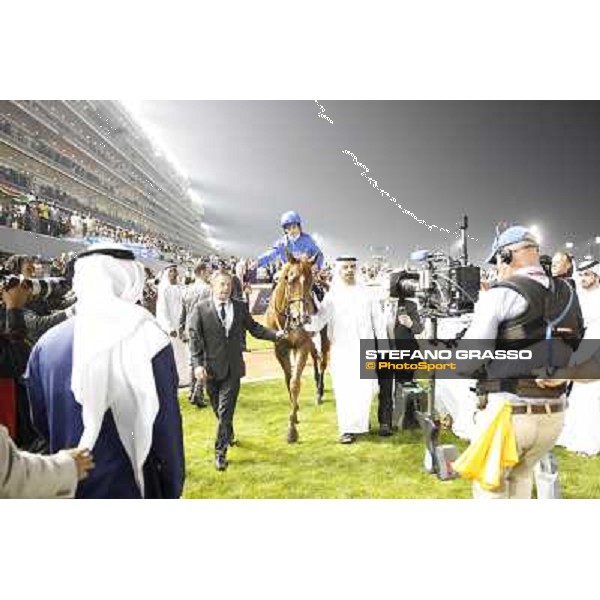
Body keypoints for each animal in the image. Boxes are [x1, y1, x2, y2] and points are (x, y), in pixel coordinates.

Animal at [264, 254, 330, 443]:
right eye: (290, 278)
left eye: (310, 281)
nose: (302, 316)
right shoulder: (280, 348)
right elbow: (288, 378)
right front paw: (295, 407)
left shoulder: (302, 345)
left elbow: (295, 382)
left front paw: (291, 428)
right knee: (315, 357)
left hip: (323, 336)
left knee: (322, 361)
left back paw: (319, 392)